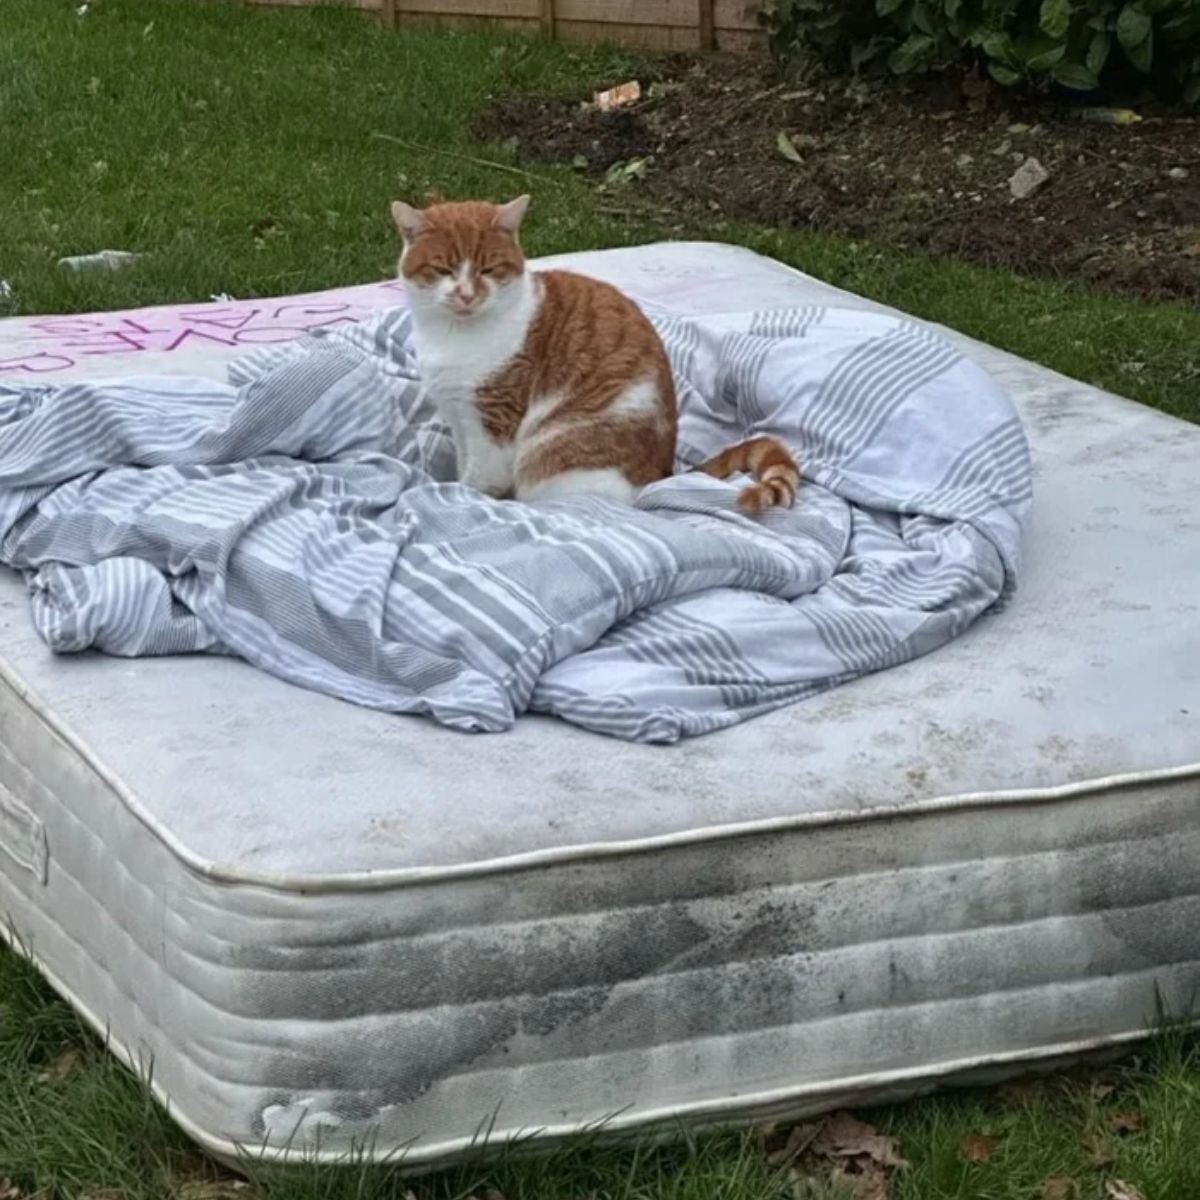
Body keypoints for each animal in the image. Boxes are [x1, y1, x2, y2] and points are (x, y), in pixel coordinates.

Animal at [391, 195, 796, 511]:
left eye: (488, 268)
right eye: (443, 269)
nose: (466, 294)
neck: (453, 336)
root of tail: (660, 477)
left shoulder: (493, 421)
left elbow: (480, 479)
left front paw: (464, 496)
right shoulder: (458, 417)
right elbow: (464, 462)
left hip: (552, 451)